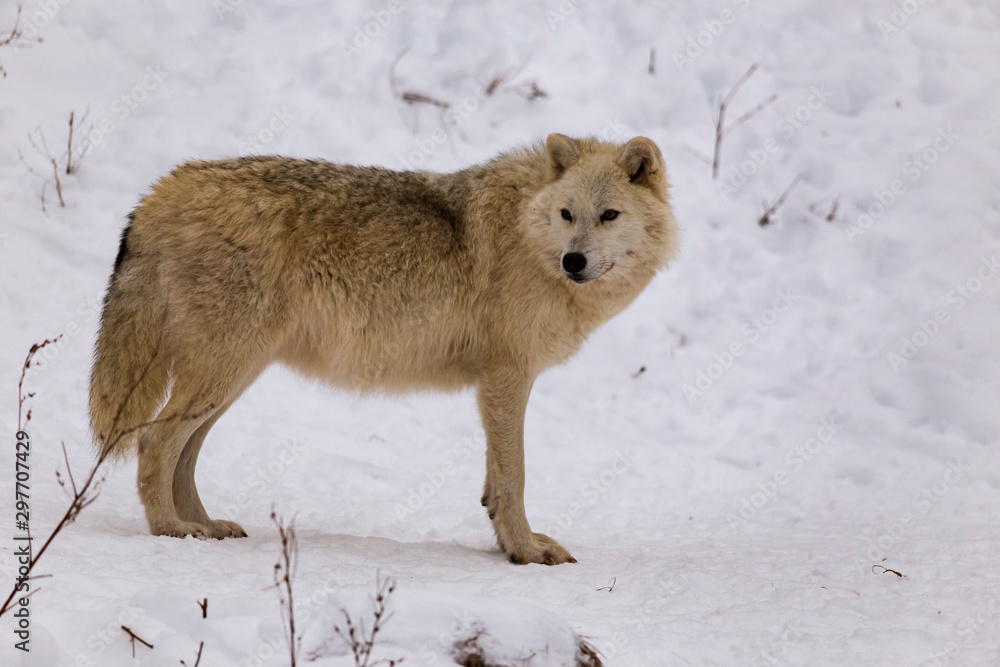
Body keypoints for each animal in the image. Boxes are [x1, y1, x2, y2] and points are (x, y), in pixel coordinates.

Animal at [89, 133, 679, 565]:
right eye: (567, 214)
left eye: (608, 216)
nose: (573, 262)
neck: (528, 236)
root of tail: (160, 190)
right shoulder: (507, 378)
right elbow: (514, 478)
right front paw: (527, 552)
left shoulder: (500, 384)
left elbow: (493, 486)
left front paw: (507, 546)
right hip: (223, 371)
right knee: (154, 442)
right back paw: (172, 530)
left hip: (232, 377)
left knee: (183, 453)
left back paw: (206, 525)